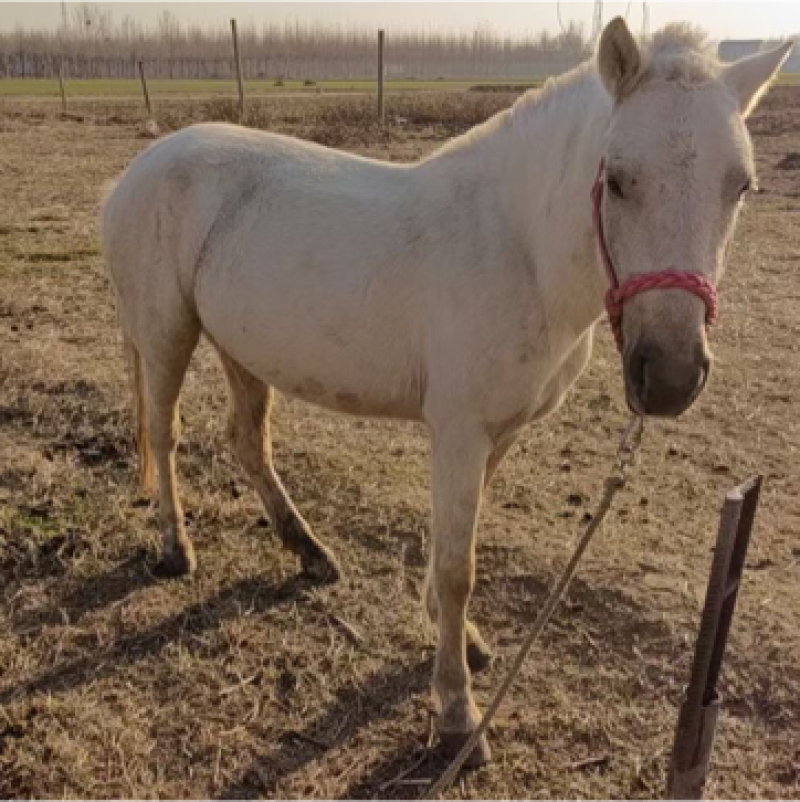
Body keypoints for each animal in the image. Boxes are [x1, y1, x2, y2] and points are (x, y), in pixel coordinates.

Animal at [102, 18, 791, 764]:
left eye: (740, 187)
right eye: (618, 180)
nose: (668, 375)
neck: (517, 249)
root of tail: (138, 170)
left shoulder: (500, 432)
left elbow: (454, 546)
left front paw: (458, 637)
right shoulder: (460, 431)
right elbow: (461, 565)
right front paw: (457, 710)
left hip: (243, 347)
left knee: (248, 444)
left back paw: (310, 553)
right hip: (167, 335)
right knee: (165, 435)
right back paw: (177, 549)